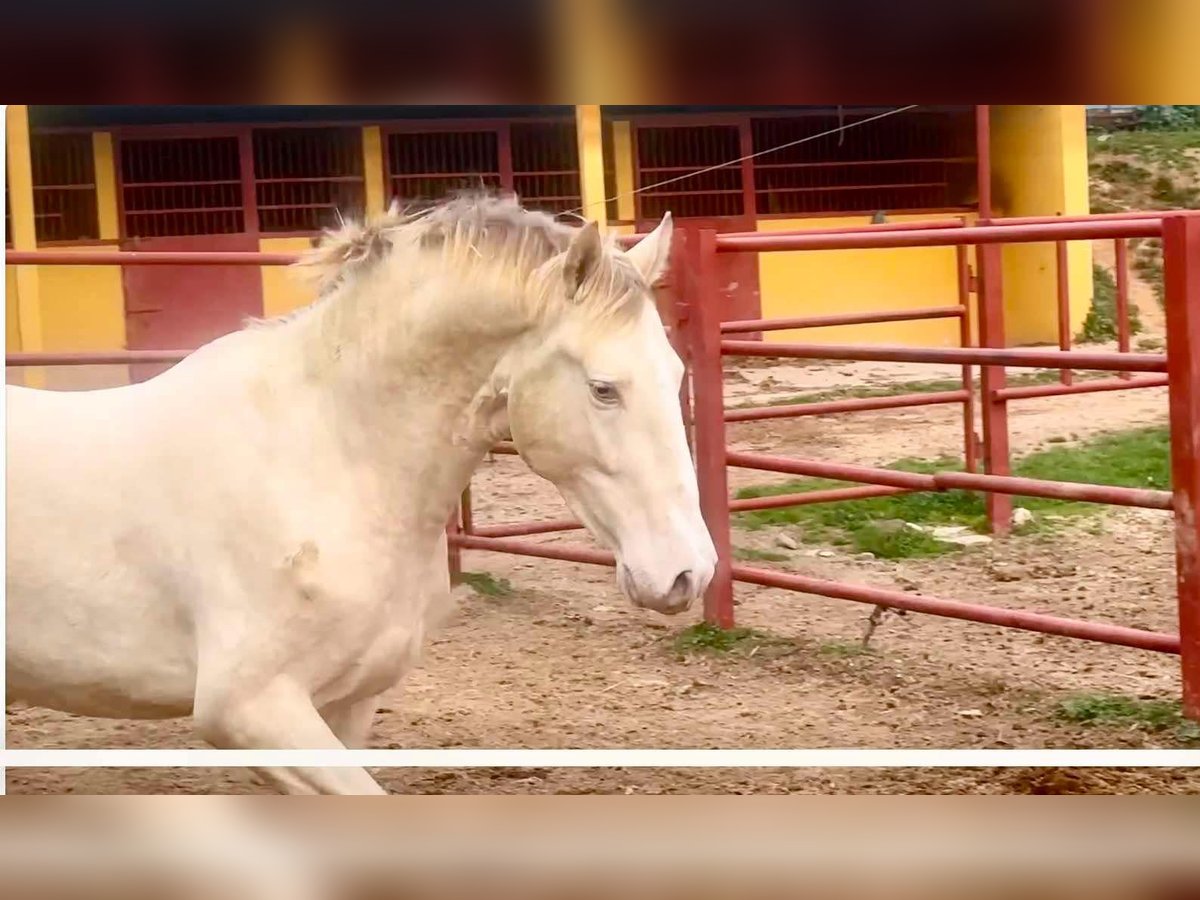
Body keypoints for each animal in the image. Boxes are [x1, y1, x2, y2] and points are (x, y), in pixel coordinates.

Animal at [4, 194, 715, 792]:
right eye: (603, 388)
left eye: (676, 372)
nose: (689, 572)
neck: (330, 455)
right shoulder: (251, 711)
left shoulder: (345, 706)